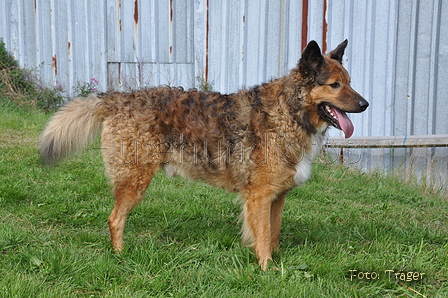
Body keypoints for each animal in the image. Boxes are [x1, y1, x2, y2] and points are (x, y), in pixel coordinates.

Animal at [39, 39, 368, 270]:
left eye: (350, 82)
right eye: (334, 85)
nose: (365, 104)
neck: (287, 113)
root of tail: (120, 98)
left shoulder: (277, 198)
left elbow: (272, 236)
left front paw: (275, 266)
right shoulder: (259, 198)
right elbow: (262, 239)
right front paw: (267, 272)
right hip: (135, 181)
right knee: (114, 219)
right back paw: (121, 256)